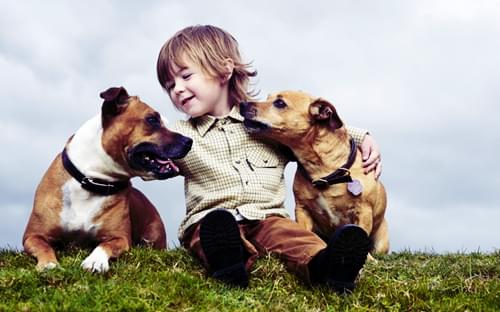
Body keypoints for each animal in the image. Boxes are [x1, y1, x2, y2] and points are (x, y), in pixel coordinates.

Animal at [23, 86, 192, 272]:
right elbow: (43, 246)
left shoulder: (119, 238)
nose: (189, 141)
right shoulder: (32, 236)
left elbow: (104, 245)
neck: (92, 181)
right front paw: (48, 264)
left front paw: (95, 261)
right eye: (152, 120)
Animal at [240, 91, 388, 258]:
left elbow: (361, 235)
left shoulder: (363, 211)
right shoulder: (302, 209)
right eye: (268, 98)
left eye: (280, 103)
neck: (323, 171)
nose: (242, 104)